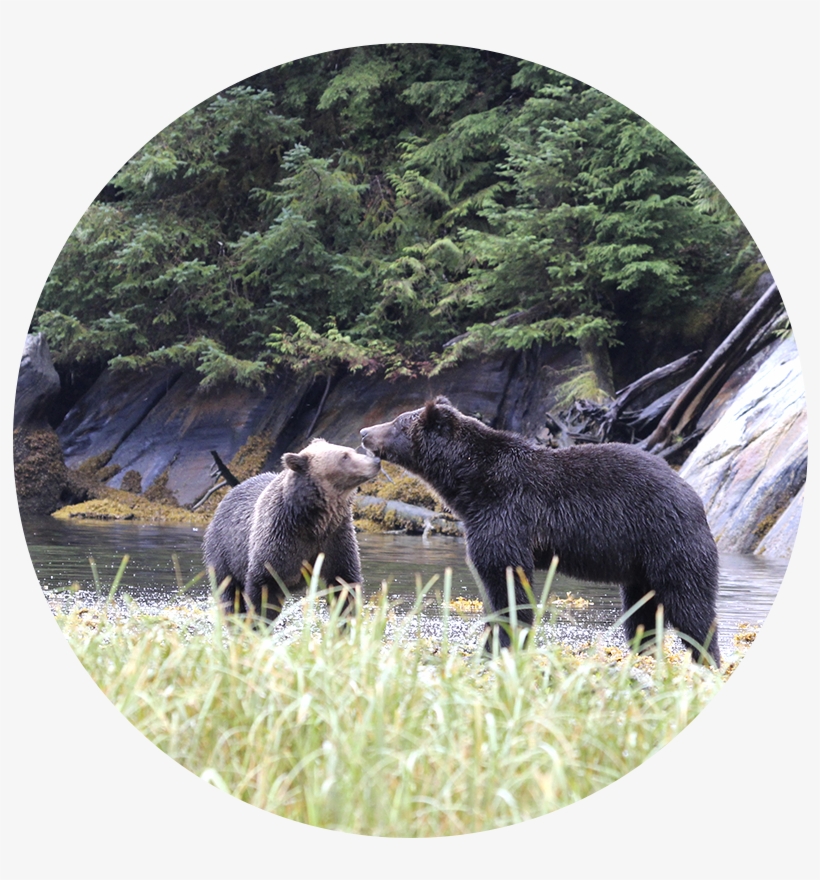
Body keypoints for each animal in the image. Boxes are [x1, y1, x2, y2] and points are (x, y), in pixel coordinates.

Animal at [202, 439, 381, 622]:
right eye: (344, 456)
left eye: (351, 451)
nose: (376, 461)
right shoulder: (279, 539)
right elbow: (264, 587)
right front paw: (259, 622)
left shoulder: (336, 538)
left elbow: (344, 583)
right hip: (224, 551)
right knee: (230, 593)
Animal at [360, 397, 720, 665]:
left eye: (396, 424)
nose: (364, 431)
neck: (470, 483)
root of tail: (696, 499)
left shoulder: (505, 514)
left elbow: (506, 583)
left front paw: (498, 646)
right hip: (640, 564)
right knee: (641, 612)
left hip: (668, 540)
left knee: (691, 605)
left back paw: (706, 659)